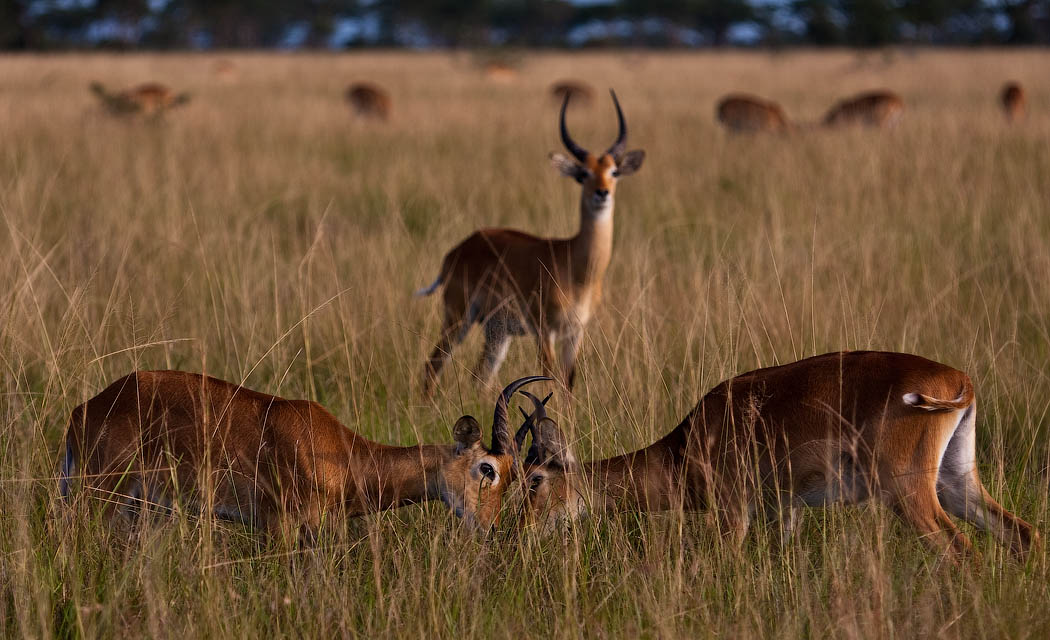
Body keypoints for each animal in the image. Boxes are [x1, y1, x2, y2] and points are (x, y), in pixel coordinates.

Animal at [59, 367, 550, 535]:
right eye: (487, 468)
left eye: (517, 478)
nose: (489, 528)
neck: (345, 454)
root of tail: (85, 409)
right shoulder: (276, 527)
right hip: (104, 499)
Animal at [413, 88, 642, 394]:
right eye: (583, 174)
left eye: (613, 171)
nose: (602, 193)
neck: (576, 266)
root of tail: (456, 250)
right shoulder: (544, 330)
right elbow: (548, 380)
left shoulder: (575, 332)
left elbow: (568, 384)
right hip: (459, 317)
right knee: (433, 366)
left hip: (496, 331)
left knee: (480, 377)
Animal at [512, 348, 1037, 558]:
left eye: (534, 479)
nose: (519, 534)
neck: (686, 444)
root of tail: (959, 380)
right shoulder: (783, 512)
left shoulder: (733, 515)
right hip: (956, 483)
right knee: (1022, 533)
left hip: (911, 495)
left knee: (962, 552)